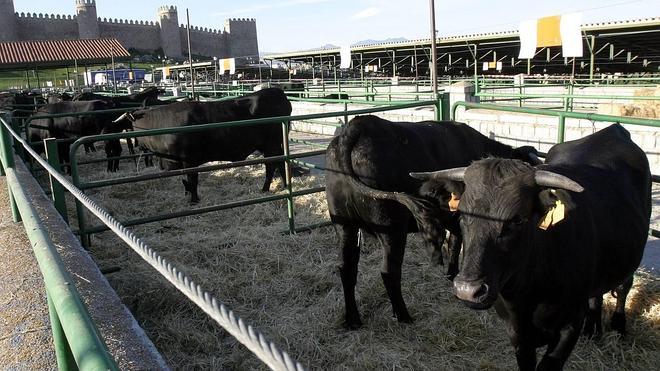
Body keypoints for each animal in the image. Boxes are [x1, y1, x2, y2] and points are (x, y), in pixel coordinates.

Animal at [112, 87, 292, 203]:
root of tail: (278, 92)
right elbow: (185, 181)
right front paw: (188, 196)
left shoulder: (189, 160)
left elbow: (192, 180)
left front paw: (194, 200)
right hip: (268, 146)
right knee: (278, 164)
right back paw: (280, 186)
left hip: (272, 145)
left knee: (273, 165)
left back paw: (267, 188)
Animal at [324, 115, 540, 328]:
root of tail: (360, 124)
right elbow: (456, 243)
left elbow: (453, 243)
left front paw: (450, 274)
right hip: (392, 228)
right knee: (389, 272)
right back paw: (403, 316)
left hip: (344, 225)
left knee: (346, 268)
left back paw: (352, 319)